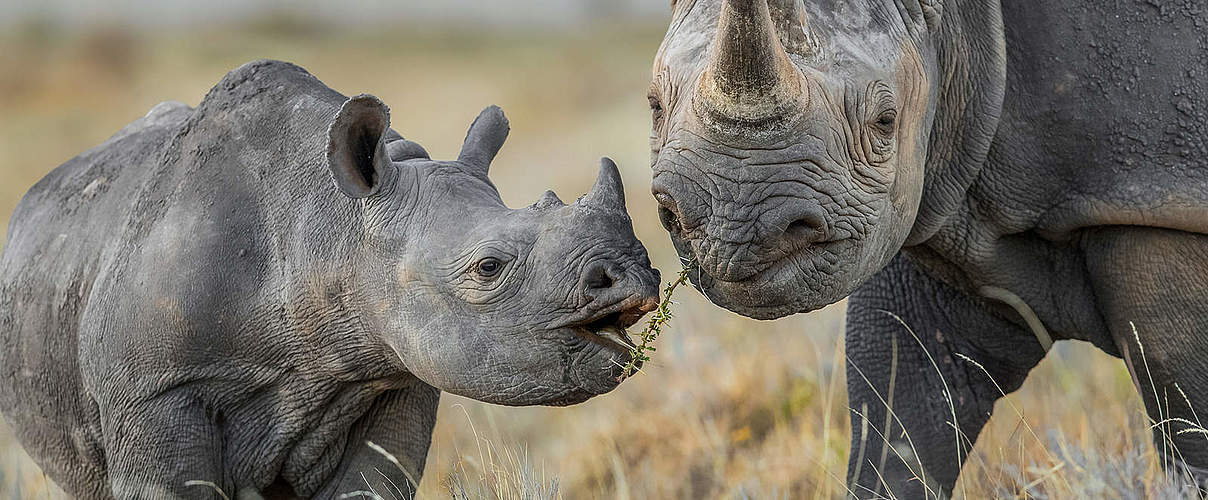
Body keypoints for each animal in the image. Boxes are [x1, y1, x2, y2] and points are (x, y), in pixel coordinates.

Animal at [647, 0, 1208, 495]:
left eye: (884, 121)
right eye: (654, 105)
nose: (734, 229)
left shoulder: (1153, 197)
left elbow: (1186, 411)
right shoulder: (930, 213)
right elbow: (899, 413)